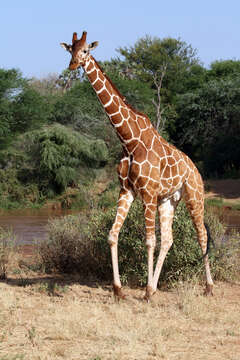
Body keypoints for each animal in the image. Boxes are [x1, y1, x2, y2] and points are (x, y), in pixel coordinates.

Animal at [60, 31, 214, 300]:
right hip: (169, 200)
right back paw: (157, 286)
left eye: (86, 51)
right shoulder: (127, 190)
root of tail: (194, 168)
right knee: (169, 239)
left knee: (201, 235)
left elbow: (149, 240)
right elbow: (113, 235)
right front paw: (119, 289)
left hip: (194, 195)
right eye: (71, 50)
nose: (73, 65)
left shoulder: (148, 192)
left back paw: (208, 286)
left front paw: (145, 291)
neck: (129, 141)